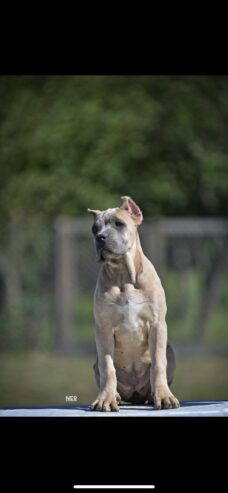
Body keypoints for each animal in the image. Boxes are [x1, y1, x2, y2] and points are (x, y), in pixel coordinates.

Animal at [88, 196, 179, 412]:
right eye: (94, 229)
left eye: (119, 224)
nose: (100, 237)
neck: (123, 274)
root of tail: (135, 392)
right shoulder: (103, 329)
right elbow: (108, 367)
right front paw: (105, 399)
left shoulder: (157, 324)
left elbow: (158, 364)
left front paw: (164, 396)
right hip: (95, 361)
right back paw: (116, 396)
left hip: (171, 351)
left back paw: (154, 395)